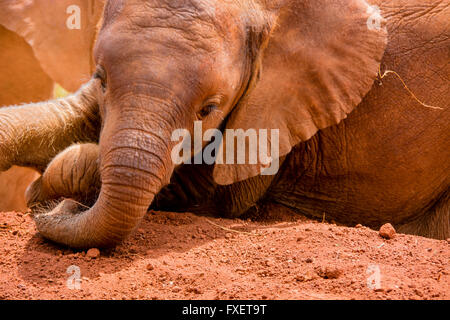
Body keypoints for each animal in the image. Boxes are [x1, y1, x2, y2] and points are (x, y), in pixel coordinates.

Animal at [0, 0, 448, 248]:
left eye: (209, 109)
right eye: (103, 78)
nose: (62, 210)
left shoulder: (281, 101)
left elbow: (209, 192)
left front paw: (46, 190)